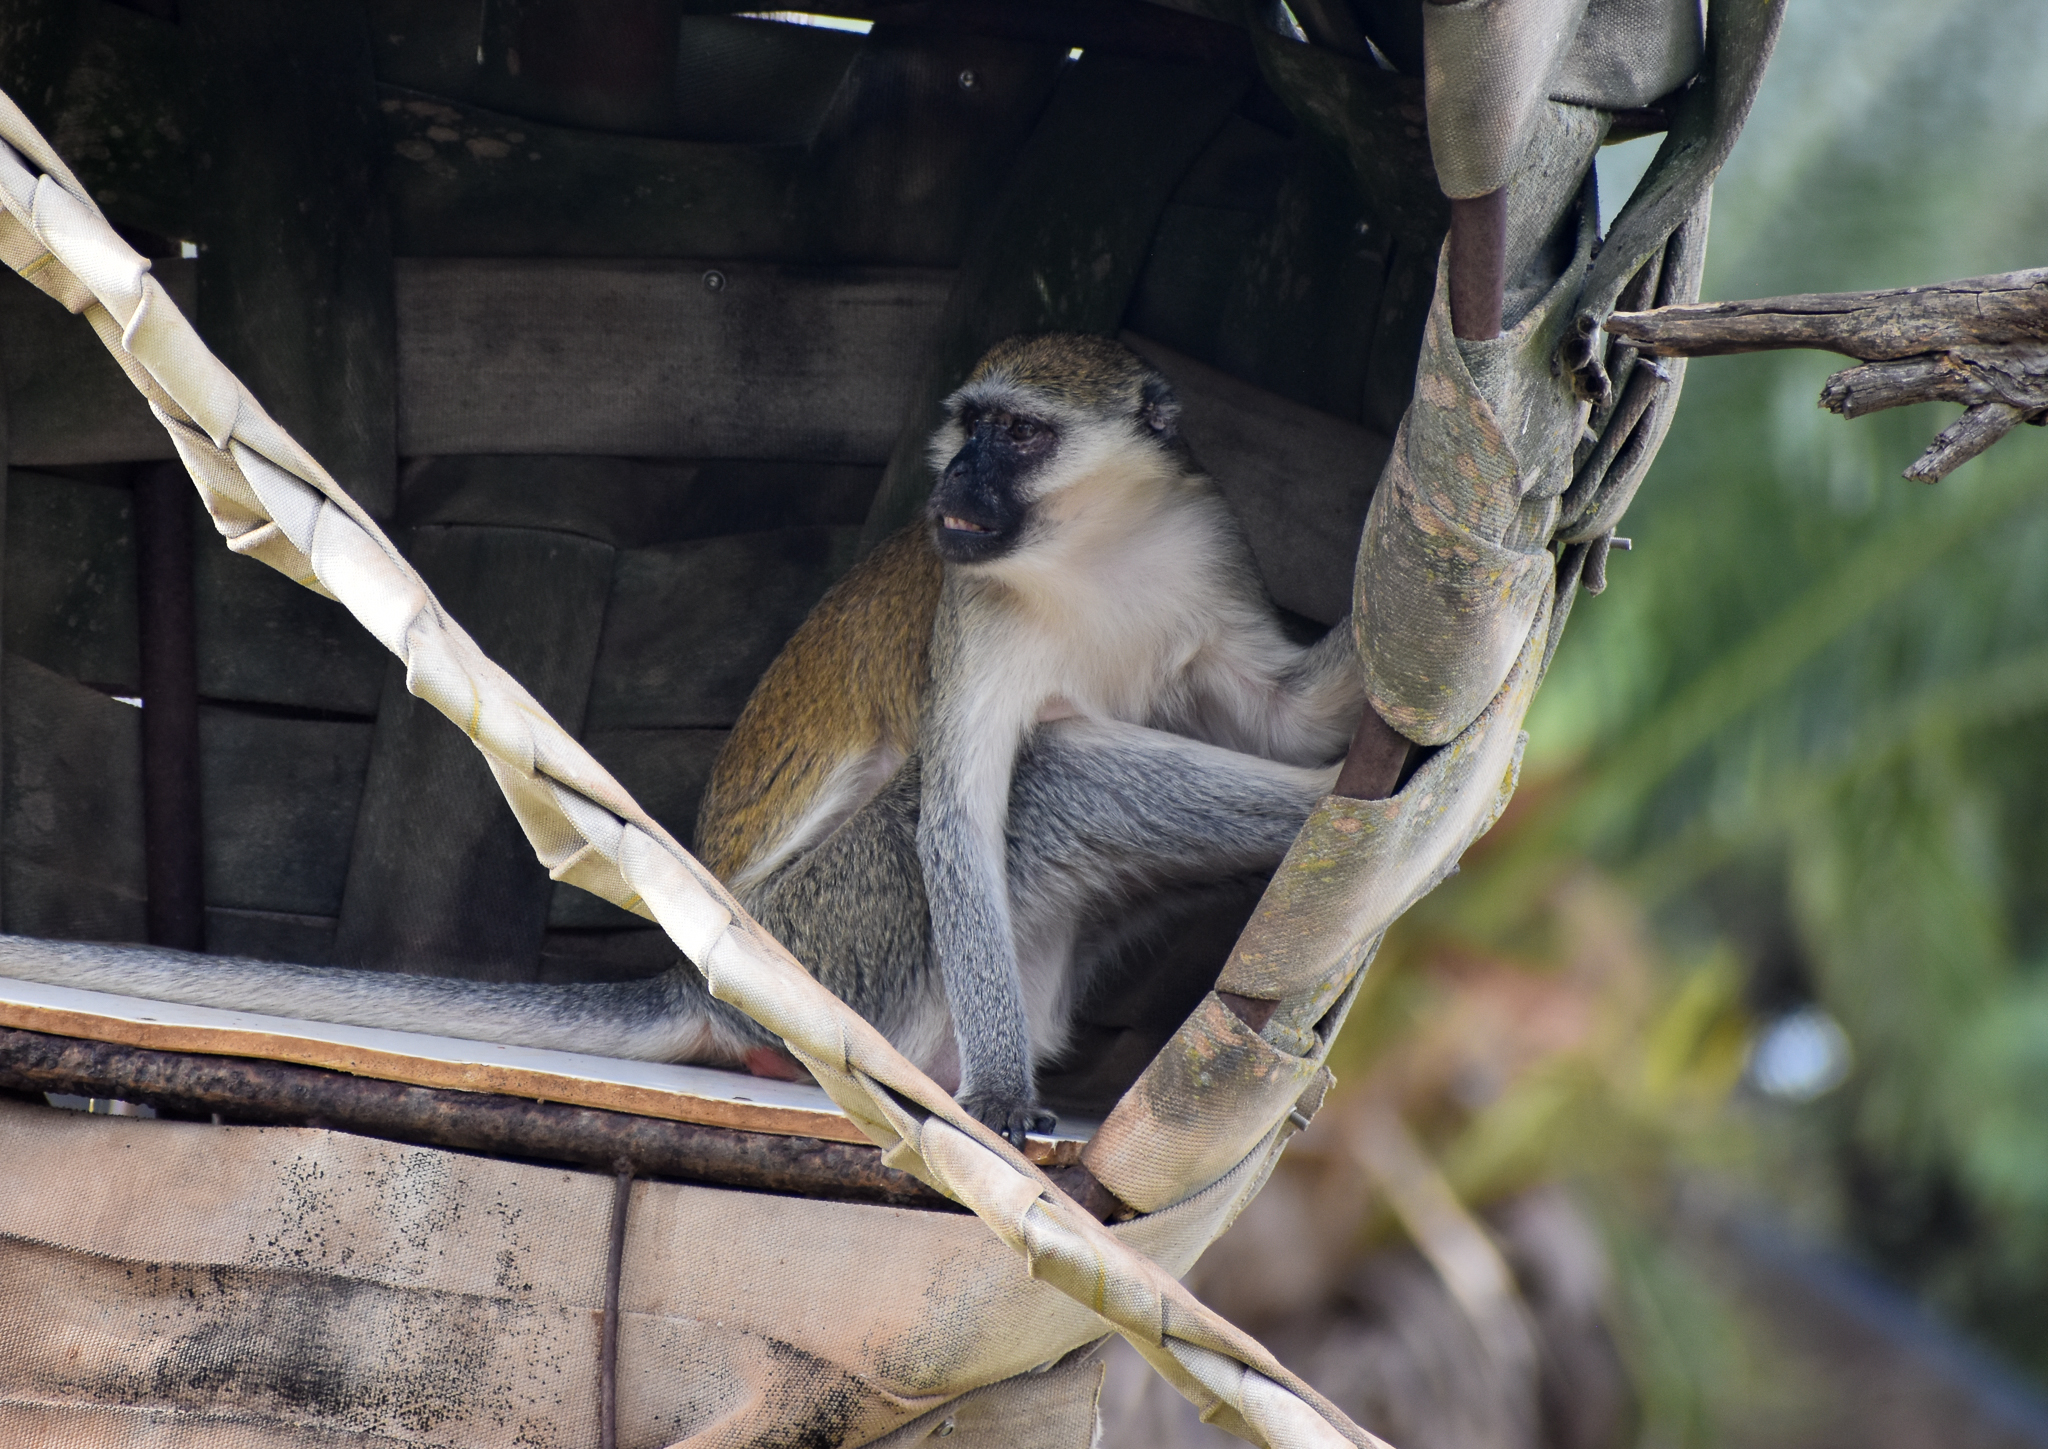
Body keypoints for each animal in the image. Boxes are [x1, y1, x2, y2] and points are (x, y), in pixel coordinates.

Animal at [0, 335, 1368, 1147]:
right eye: (968, 424)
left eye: (1020, 433)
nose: (955, 484)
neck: (1093, 554)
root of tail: (708, 975)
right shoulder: (968, 618)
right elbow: (957, 822)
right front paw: (993, 1099)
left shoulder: (1203, 548)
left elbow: (1284, 704)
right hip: (819, 958)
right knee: (1059, 774)